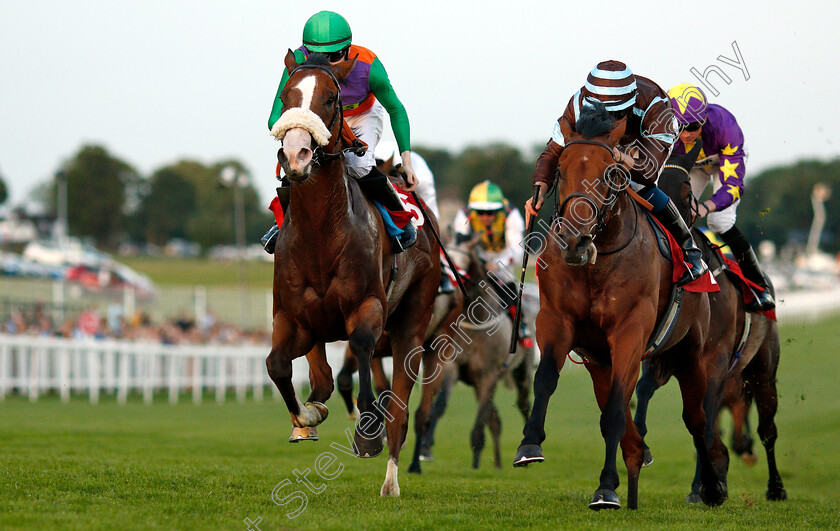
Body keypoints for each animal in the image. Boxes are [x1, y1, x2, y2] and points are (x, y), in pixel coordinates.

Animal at [268, 52, 440, 496]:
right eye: (285, 96)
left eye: (331, 99)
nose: (296, 154)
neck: (321, 232)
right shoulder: (293, 317)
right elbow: (278, 366)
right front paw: (307, 417)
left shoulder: (369, 304)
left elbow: (362, 344)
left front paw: (367, 430)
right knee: (321, 375)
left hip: (414, 321)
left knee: (401, 408)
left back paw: (391, 481)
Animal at [516, 109, 724, 512]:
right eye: (560, 170)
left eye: (611, 172)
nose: (575, 241)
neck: (596, 263)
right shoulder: (556, 319)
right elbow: (546, 378)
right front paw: (529, 443)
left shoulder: (630, 331)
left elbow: (614, 412)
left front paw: (605, 489)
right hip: (600, 361)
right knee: (627, 421)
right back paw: (635, 474)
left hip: (691, 352)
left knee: (696, 418)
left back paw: (709, 486)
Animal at [636, 147, 788, 502]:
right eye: (655, 186)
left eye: (686, 192)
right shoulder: (661, 358)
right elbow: (644, 390)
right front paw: (644, 449)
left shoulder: (714, 361)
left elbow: (703, 422)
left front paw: (708, 485)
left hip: (763, 371)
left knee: (767, 430)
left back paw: (774, 487)